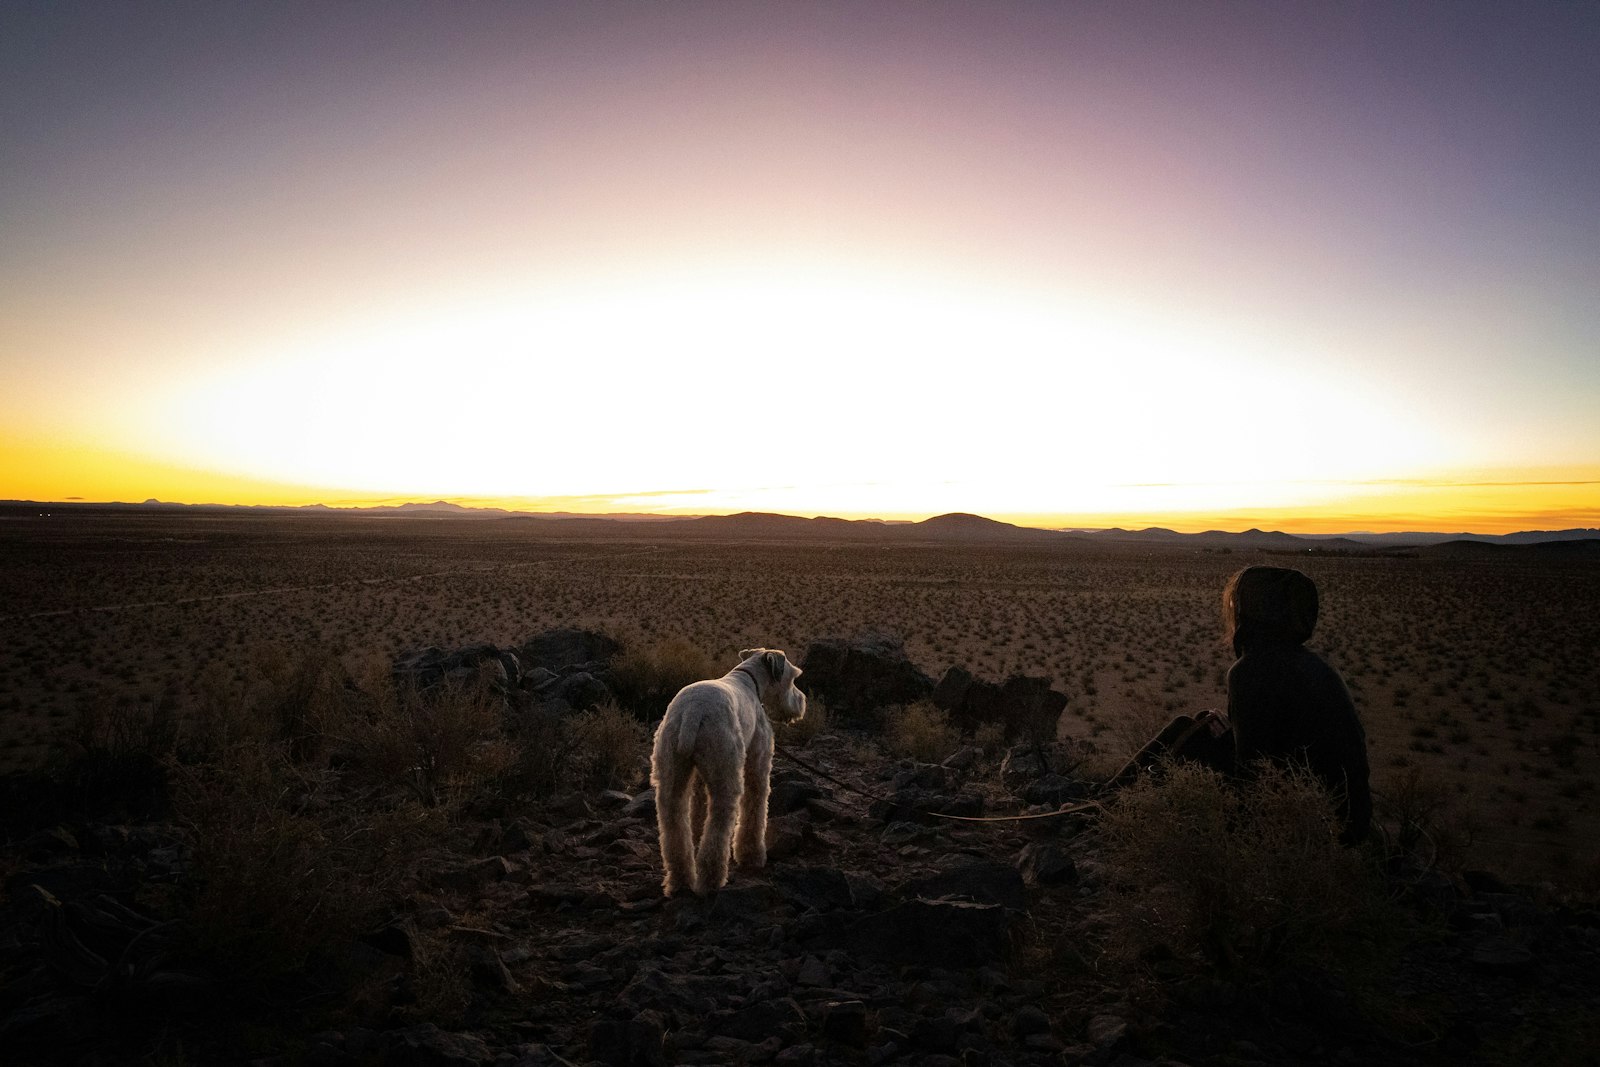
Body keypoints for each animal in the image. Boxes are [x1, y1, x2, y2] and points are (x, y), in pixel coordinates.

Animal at [649, 646, 806, 895]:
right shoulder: (758, 765)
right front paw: (752, 856)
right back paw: (711, 882)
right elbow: (755, 807)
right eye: (793, 678)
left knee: (673, 825)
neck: (750, 680)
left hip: (671, 771)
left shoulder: (700, 779)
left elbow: (698, 810)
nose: (802, 702)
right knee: (718, 829)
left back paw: (680, 881)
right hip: (727, 774)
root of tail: (692, 712)